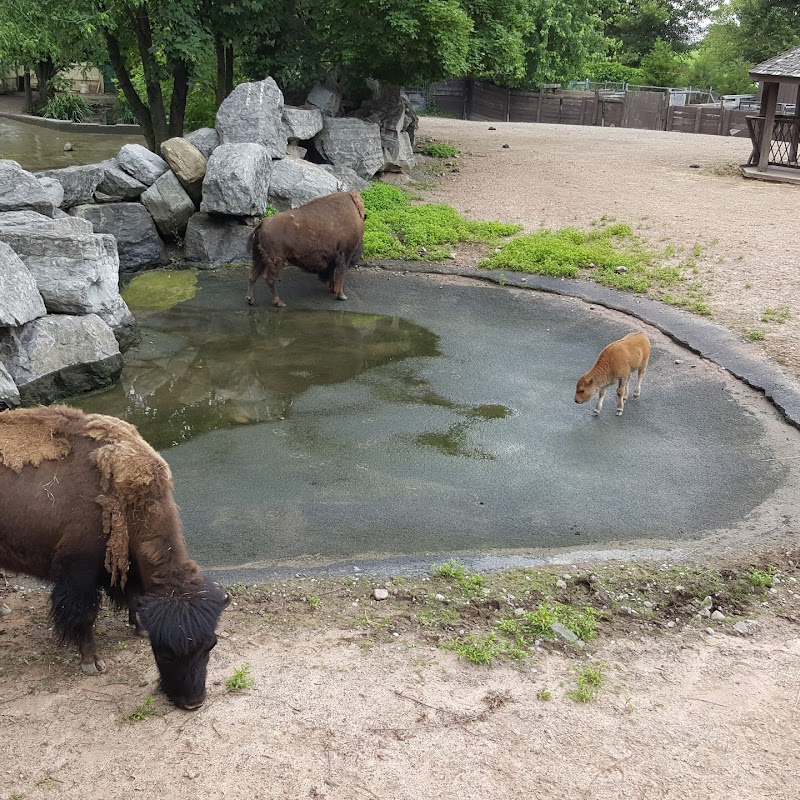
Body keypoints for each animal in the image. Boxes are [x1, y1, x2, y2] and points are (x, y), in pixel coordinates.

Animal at [0, 406, 231, 708]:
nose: (193, 702)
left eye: (210, 645)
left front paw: (139, 626)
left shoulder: (125, 566)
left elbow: (134, 595)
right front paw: (92, 662)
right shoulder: (79, 572)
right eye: (163, 652)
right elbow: (85, 614)